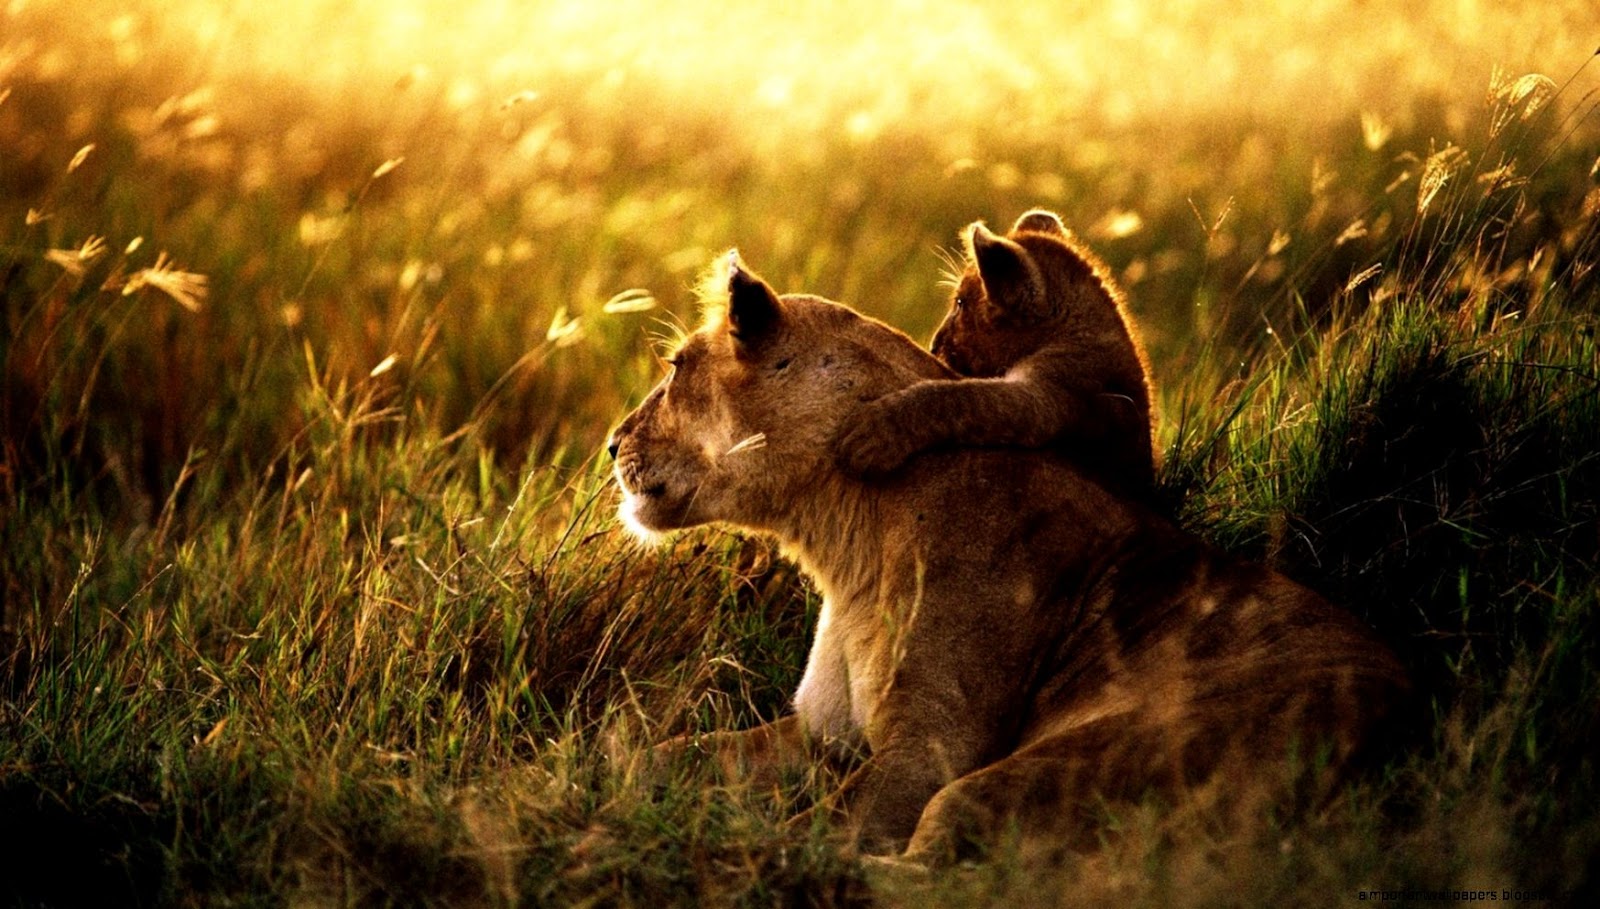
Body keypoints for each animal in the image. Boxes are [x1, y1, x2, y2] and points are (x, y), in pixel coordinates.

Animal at [608, 253, 1407, 863]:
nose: (613, 444)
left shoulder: (929, 748)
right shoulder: (820, 731)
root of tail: (1406, 729)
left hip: (1051, 766)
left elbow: (818, 829)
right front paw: (608, 776)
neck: (845, 540)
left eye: (676, 366)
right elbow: (669, 750)